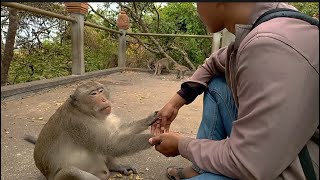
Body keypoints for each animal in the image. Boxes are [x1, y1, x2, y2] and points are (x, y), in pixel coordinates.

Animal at [23, 81, 158, 180]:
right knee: (71, 171)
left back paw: (114, 166)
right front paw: (155, 138)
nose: (104, 100)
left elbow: (116, 135)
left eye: (101, 91)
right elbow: (111, 144)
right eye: (93, 94)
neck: (87, 112)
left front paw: (149, 119)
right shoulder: (79, 123)